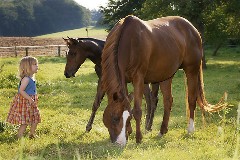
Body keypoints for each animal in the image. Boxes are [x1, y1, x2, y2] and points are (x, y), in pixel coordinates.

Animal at [101, 15, 227, 146]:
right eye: (115, 118)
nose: (119, 143)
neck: (129, 42)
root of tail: (193, 30)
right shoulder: (125, 80)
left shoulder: (138, 79)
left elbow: (137, 110)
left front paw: (138, 138)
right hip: (166, 75)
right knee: (168, 101)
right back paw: (162, 131)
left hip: (191, 70)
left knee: (191, 99)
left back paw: (190, 129)